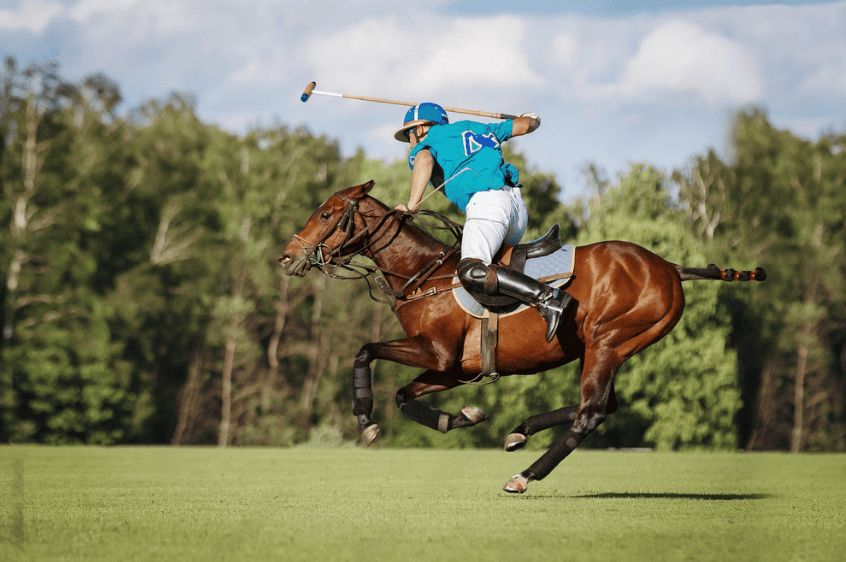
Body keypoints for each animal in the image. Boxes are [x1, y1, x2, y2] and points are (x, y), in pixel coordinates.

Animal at [278, 180, 765, 493]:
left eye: (326, 213)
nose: (286, 257)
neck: (424, 274)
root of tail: (670, 267)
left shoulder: (436, 352)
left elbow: (364, 352)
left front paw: (365, 420)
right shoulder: (453, 368)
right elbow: (403, 395)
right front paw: (462, 417)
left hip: (608, 341)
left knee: (591, 413)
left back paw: (524, 476)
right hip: (610, 347)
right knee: (602, 405)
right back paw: (520, 431)